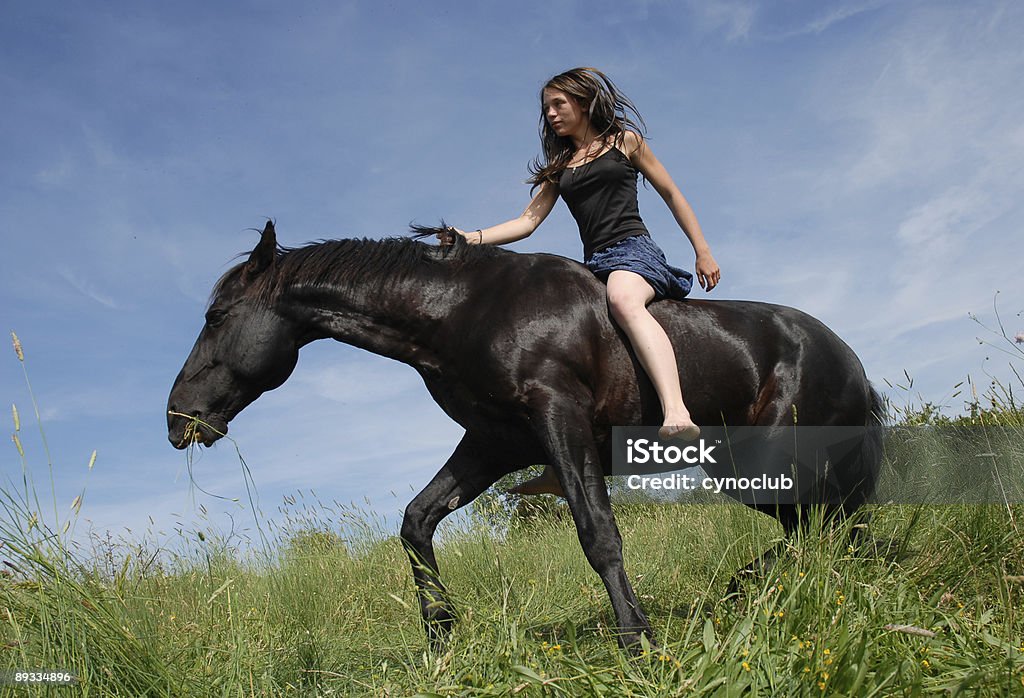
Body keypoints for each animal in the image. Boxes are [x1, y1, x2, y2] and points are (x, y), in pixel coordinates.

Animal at [165, 221, 880, 646]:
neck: (465, 309)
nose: (177, 419)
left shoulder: (558, 416)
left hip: (763, 466)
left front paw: (638, 641)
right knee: (821, 529)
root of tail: (851, 360)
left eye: (216, 316)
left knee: (826, 526)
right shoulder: (494, 444)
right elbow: (416, 522)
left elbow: (598, 534)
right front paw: (442, 638)